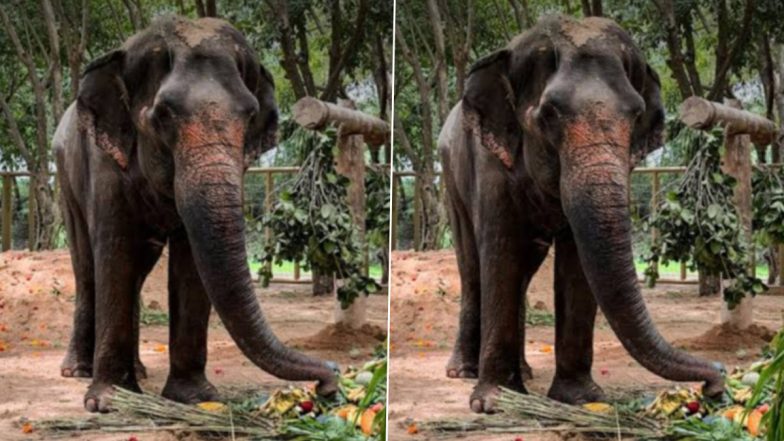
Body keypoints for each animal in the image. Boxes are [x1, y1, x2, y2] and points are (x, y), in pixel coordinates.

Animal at [52, 16, 337, 413]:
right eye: (163, 115)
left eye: (250, 115)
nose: (329, 382)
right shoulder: (104, 163)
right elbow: (115, 249)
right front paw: (110, 403)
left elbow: (190, 262)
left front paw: (194, 398)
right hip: (65, 177)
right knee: (87, 266)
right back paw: (78, 371)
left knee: (137, 272)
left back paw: (138, 371)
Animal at [438, 15, 724, 413]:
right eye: (549, 114)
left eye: (636, 114)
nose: (715, 383)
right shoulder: (490, 163)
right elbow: (501, 250)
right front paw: (496, 404)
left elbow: (576, 263)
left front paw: (580, 399)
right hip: (450, 178)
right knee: (472, 266)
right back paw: (464, 372)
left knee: (523, 272)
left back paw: (524, 372)